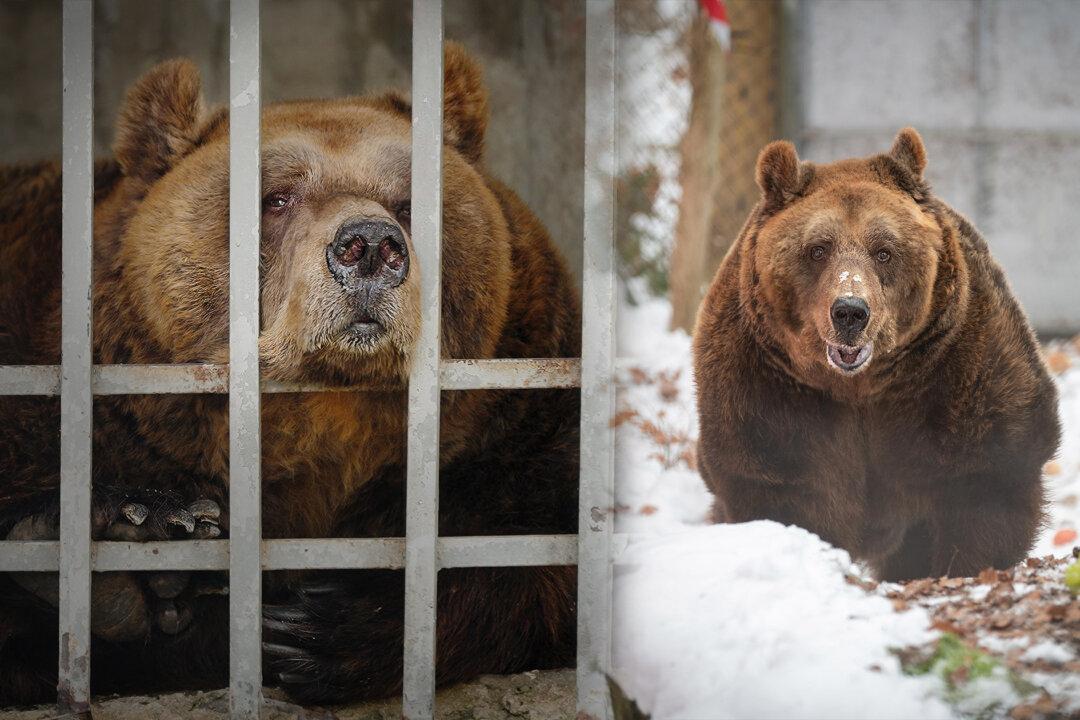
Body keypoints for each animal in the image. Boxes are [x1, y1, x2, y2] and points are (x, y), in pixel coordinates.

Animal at [0, 44, 580, 706]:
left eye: (409, 203)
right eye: (276, 198)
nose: (369, 245)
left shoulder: (518, 427)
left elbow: (535, 556)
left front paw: (322, 630)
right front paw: (139, 530)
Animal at [693, 128, 1060, 583]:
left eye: (884, 250)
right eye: (817, 248)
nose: (850, 311)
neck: (860, 387)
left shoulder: (958, 370)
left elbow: (984, 479)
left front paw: (961, 566)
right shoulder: (767, 385)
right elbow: (780, 482)